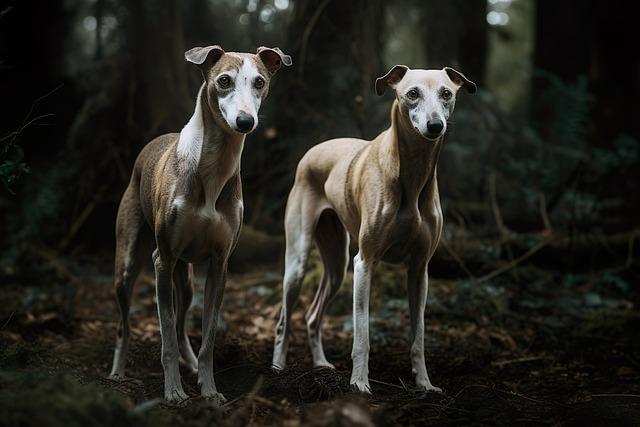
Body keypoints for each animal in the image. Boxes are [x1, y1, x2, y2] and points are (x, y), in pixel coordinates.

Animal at [108, 45, 292, 402]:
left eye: (260, 82)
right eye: (224, 80)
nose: (245, 121)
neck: (213, 167)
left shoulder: (220, 265)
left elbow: (207, 338)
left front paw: (209, 389)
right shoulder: (162, 260)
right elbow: (165, 337)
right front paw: (173, 392)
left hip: (187, 279)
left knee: (181, 327)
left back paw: (191, 367)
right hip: (130, 265)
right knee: (126, 326)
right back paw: (117, 374)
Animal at [270, 64, 476, 394]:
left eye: (446, 93)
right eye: (412, 93)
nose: (435, 126)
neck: (412, 176)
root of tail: (313, 150)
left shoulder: (420, 269)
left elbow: (418, 336)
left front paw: (424, 384)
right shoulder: (365, 263)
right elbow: (362, 336)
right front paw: (359, 383)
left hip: (337, 265)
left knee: (313, 315)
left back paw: (321, 364)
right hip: (299, 261)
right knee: (283, 321)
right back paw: (277, 368)